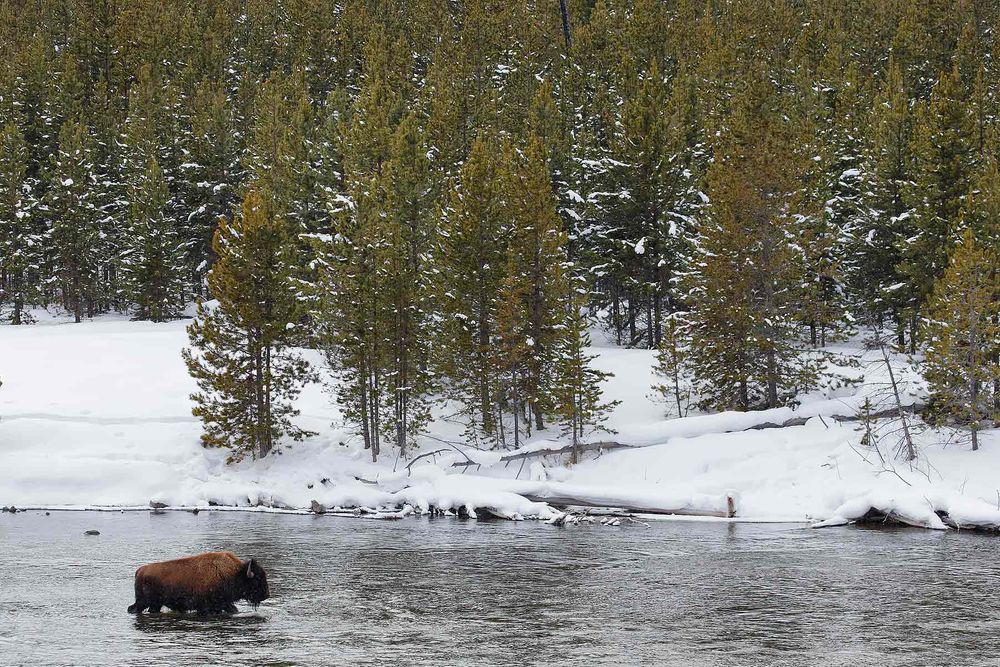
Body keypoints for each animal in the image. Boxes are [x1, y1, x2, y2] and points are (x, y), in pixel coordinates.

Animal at [127, 551, 269, 614]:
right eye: (257, 578)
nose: (267, 595)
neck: (234, 573)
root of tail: (140, 570)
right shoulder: (213, 605)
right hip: (144, 602)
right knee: (132, 608)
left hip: (155, 604)